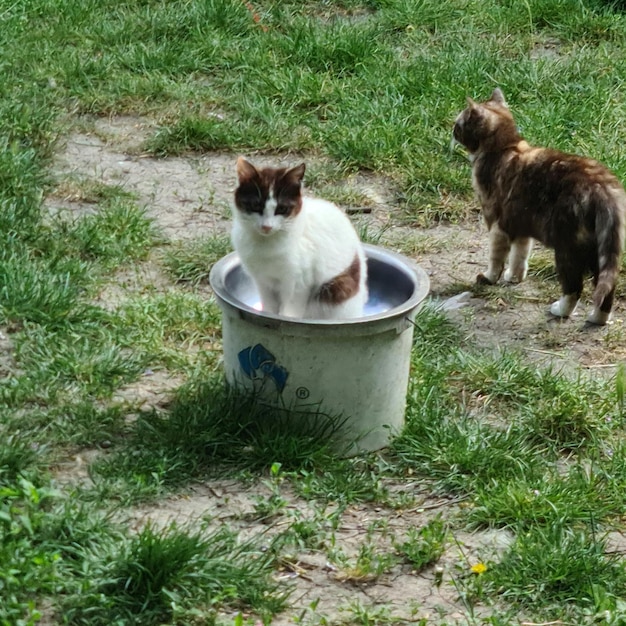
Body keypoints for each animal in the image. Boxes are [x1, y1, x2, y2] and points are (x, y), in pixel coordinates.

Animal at [229, 155, 366, 320]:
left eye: (282, 208)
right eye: (255, 205)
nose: (266, 226)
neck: (266, 245)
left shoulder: (299, 282)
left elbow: (290, 309)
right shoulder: (262, 281)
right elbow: (269, 305)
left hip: (336, 289)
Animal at [454, 88, 624, 324]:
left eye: (458, 124)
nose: (452, 130)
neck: (504, 147)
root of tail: (603, 189)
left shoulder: (497, 225)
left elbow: (496, 258)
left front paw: (489, 278)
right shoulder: (520, 224)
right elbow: (520, 255)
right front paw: (514, 277)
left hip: (568, 247)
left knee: (574, 287)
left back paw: (560, 310)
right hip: (601, 249)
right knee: (605, 287)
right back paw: (597, 318)